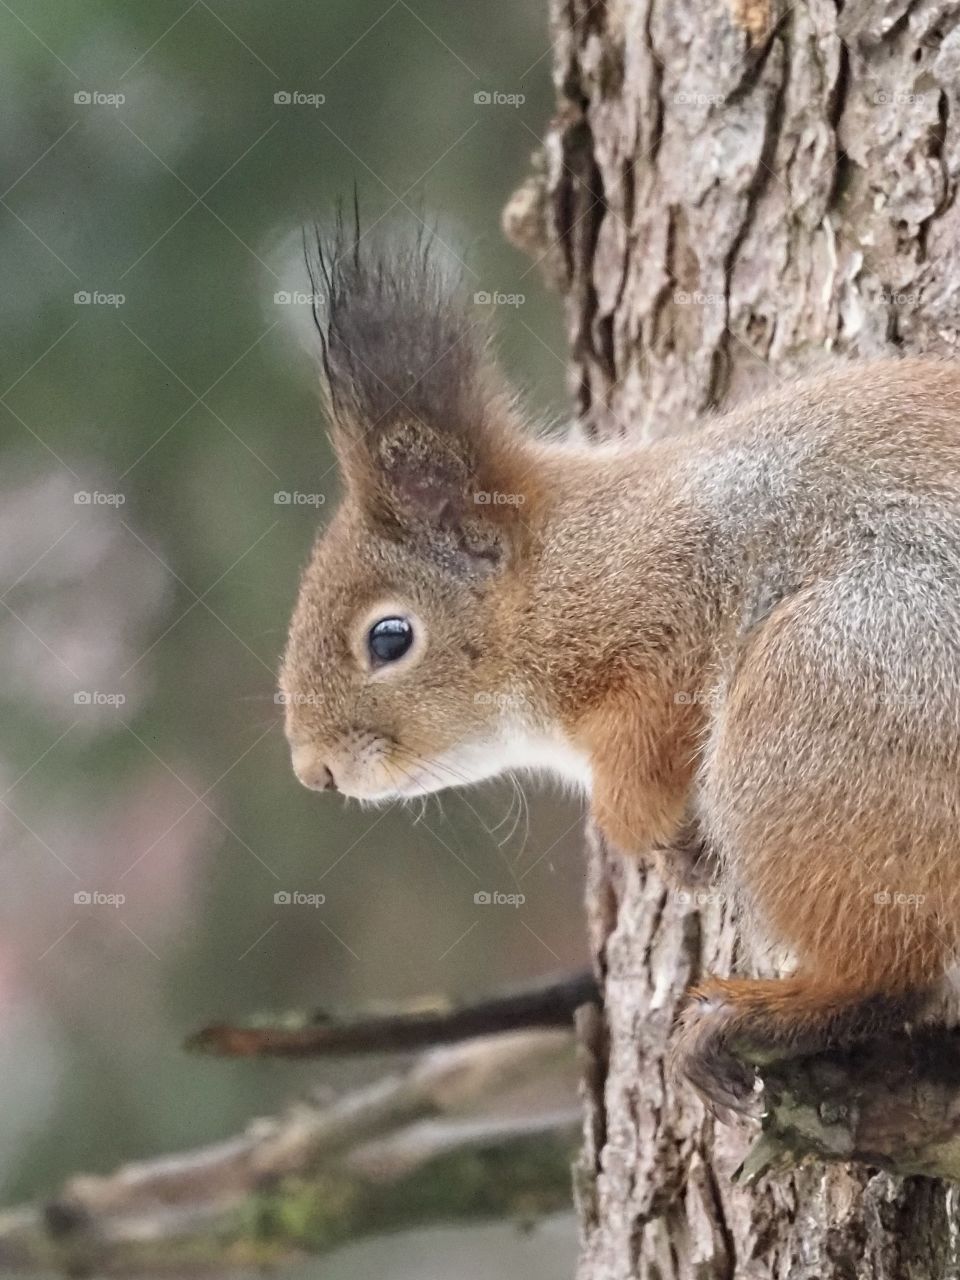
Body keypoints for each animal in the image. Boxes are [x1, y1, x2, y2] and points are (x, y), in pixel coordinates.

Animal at [279, 218, 960, 1116]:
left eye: (389, 638)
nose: (313, 769)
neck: (556, 566)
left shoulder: (662, 612)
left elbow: (642, 751)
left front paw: (642, 831)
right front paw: (674, 852)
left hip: (825, 698)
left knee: (897, 975)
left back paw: (761, 1014)